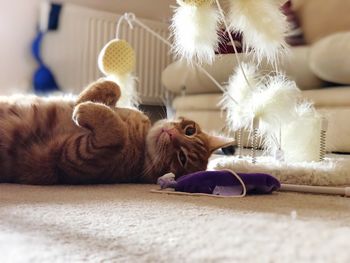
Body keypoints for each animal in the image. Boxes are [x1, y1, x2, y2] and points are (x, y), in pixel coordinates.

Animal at [0, 80, 235, 186]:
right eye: (189, 130)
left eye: (182, 158)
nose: (171, 134)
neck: (141, 137)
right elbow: (113, 86)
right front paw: (83, 99)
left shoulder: (72, 159)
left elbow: (117, 132)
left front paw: (82, 109)